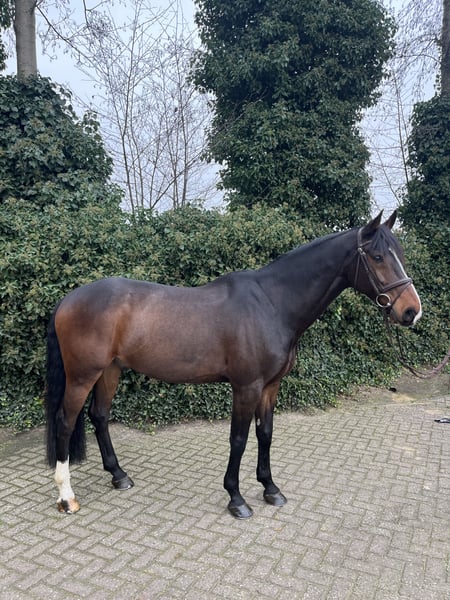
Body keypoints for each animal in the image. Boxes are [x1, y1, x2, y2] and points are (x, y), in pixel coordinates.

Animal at [45, 211, 422, 518]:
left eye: (400, 255)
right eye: (377, 257)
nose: (411, 311)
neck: (272, 303)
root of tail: (68, 299)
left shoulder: (270, 386)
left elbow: (265, 434)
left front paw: (271, 489)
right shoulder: (246, 387)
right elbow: (238, 439)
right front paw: (236, 499)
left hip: (110, 370)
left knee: (99, 416)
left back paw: (119, 476)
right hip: (82, 375)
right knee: (66, 421)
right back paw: (66, 497)